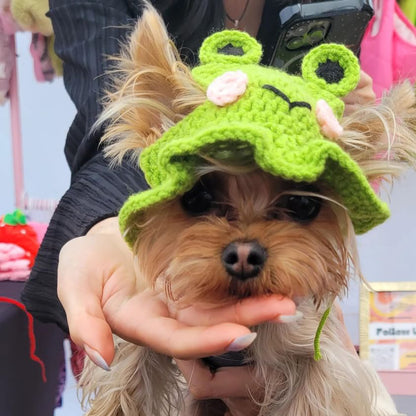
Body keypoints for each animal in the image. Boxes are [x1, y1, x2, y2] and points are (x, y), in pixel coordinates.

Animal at [79, 4, 416, 414]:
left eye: (302, 204)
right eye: (197, 197)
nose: (244, 254)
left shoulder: (321, 363)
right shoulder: (144, 352)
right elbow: (125, 383)